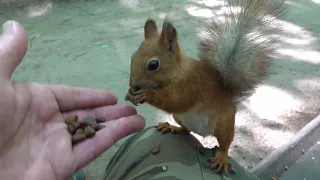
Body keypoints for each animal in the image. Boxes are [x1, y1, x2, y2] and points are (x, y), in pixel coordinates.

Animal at [124, 0, 284, 174]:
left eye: (153, 64)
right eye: (132, 56)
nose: (133, 85)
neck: (179, 72)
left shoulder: (193, 85)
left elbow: (177, 102)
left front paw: (146, 95)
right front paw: (131, 94)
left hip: (224, 124)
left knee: (224, 144)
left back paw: (221, 158)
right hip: (179, 117)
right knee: (186, 130)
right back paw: (172, 127)